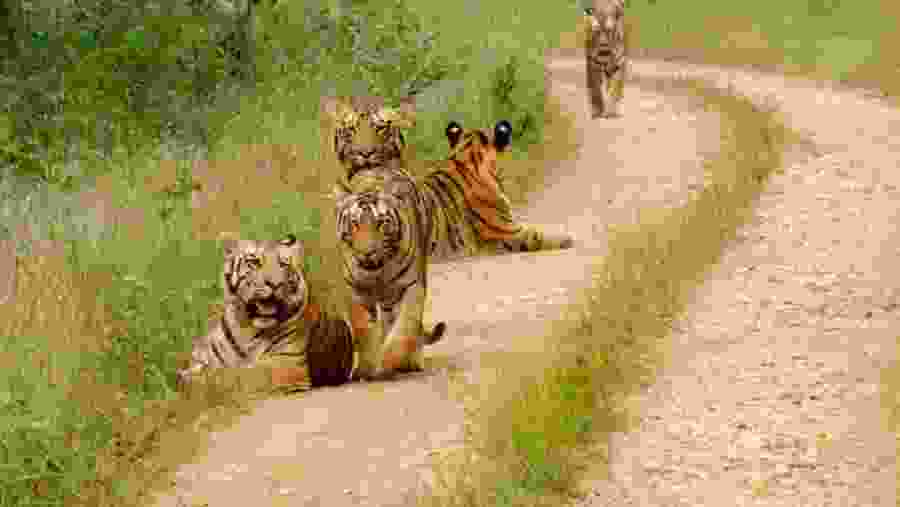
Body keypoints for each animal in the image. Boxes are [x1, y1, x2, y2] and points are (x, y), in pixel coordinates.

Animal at [176, 233, 445, 393]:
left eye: (283, 264)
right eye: (254, 262)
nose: (274, 283)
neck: (248, 326)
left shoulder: (286, 364)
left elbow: (242, 374)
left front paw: (209, 383)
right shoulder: (203, 356)